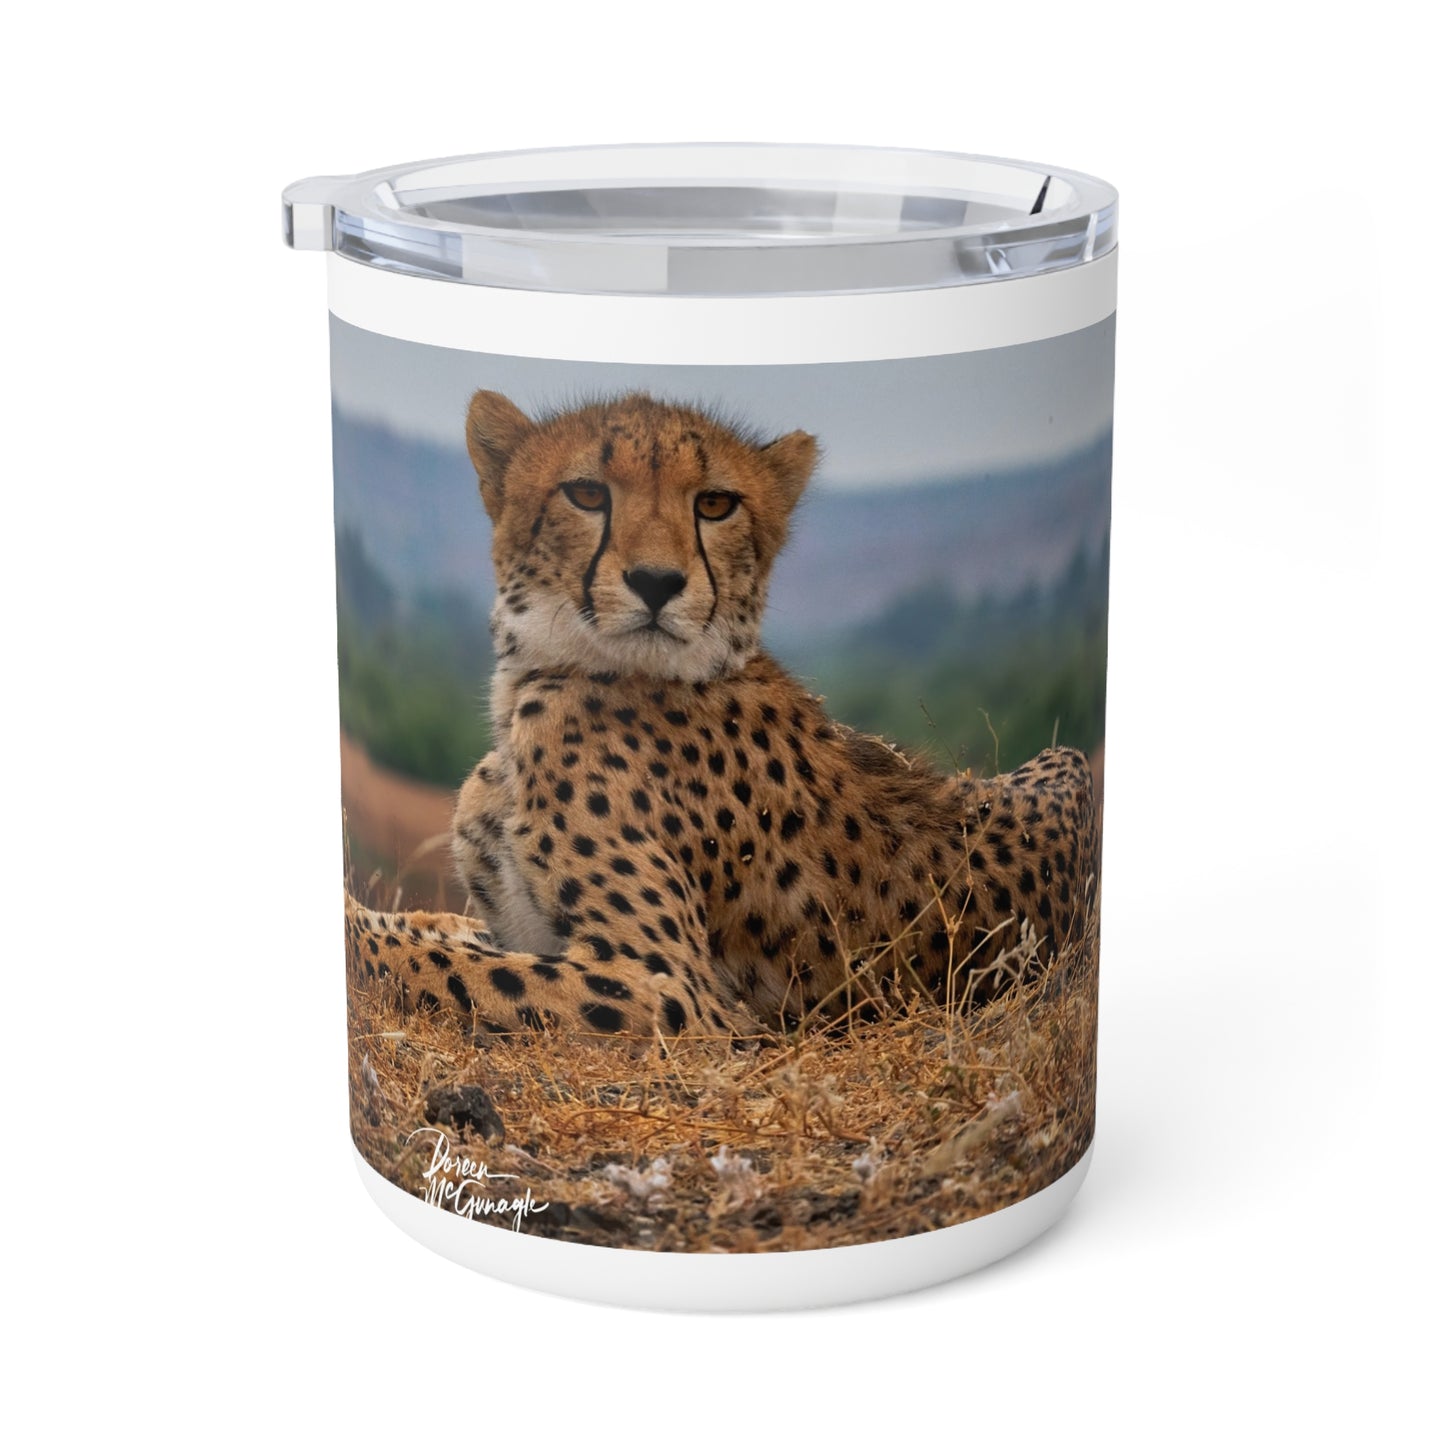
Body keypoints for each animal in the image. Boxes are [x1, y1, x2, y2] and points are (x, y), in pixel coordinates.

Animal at [344, 390, 1100, 1042]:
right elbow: (430, 928)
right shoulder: (513, 928)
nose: (656, 582)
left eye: (714, 503)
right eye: (586, 493)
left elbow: (432, 958)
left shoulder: (678, 995)